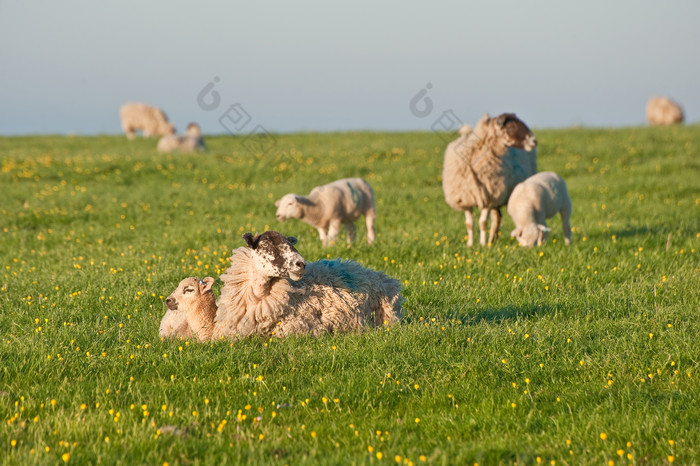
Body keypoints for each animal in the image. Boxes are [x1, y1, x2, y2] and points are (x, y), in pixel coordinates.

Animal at [440, 112, 540, 248]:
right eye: (511, 127)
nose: (534, 141)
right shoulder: (466, 200)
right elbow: (469, 224)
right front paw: (470, 244)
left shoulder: (488, 198)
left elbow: (482, 223)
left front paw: (482, 244)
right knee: (497, 217)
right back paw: (492, 241)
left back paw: (490, 242)